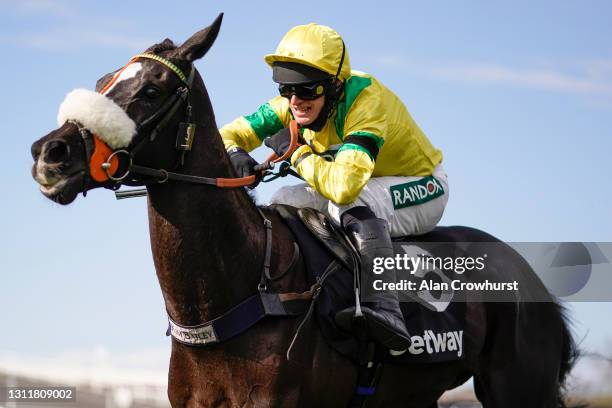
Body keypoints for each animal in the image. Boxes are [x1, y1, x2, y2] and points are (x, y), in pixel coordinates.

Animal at [31, 13, 580, 408]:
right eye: (104, 80)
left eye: (150, 90)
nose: (50, 152)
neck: (243, 289)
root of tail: (527, 270)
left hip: (517, 383)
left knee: (360, 205)